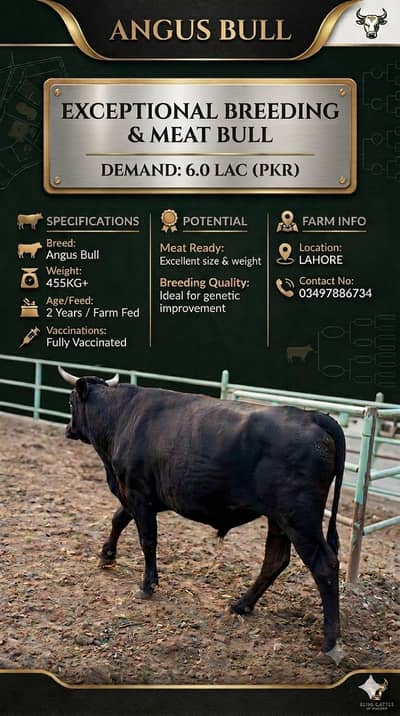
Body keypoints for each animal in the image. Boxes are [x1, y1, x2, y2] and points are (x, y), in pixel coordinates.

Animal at [58, 367, 346, 662]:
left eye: (70, 401)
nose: (68, 429)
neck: (122, 416)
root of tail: (312, 415)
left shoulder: (138, 494)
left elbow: (147, 541)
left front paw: (148, 585)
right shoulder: (134, 495)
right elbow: (118, 519)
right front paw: (107, 556)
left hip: (299, 518)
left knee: (324, 565)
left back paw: (330, 642)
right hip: (280, 519)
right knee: (275, 560)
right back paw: (241, 605)